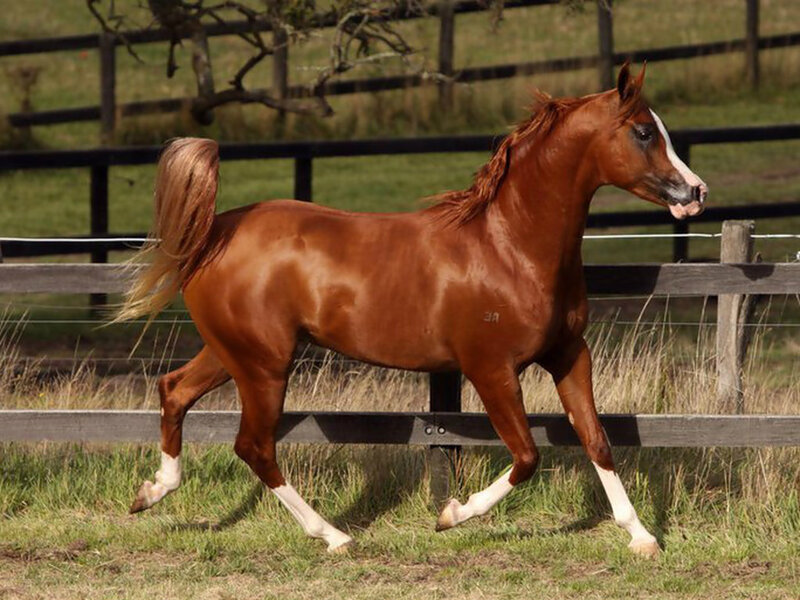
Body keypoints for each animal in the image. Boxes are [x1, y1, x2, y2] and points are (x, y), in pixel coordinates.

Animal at [121, 63, 706, 556]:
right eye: (644, 132)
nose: (696, 192)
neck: (511, 246)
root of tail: (212, 234)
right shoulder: (491, 369)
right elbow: (527, 456)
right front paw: (450, 514)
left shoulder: (568, 354)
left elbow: (597, 440)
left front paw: (642, 537)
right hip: (264, 366)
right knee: (254, 446)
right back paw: (334, 536)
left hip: (232, 354)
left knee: (174, 391)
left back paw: (150, 492)